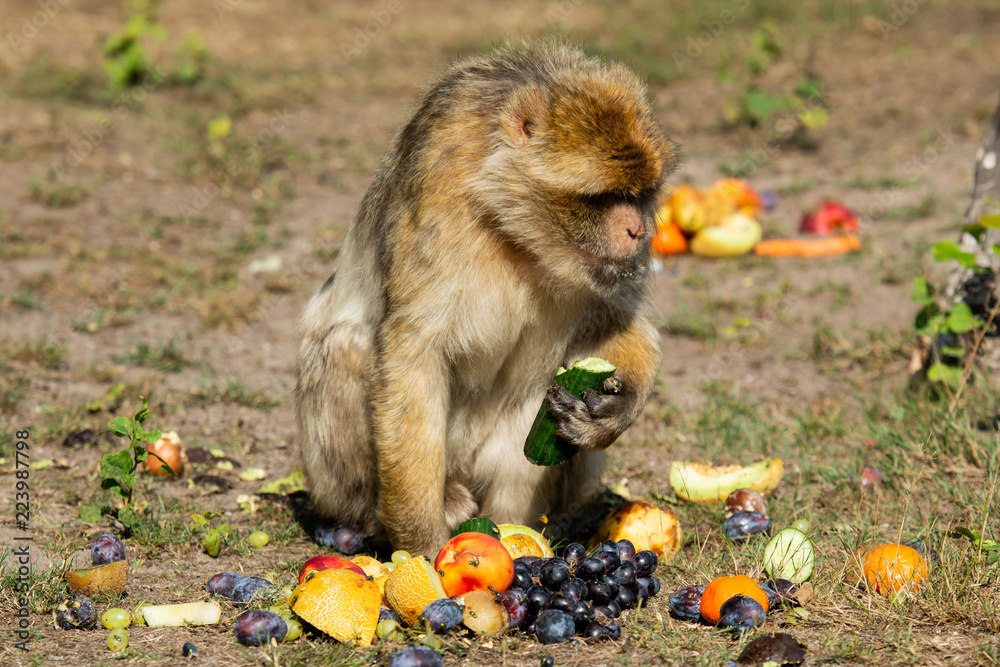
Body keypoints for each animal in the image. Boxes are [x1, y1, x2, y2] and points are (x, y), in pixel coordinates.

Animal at [295, 43, 676, 557]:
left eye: (640, 194)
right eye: (605, 197)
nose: (638, 230)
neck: (516, 231)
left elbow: (617, 319)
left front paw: (616, 409)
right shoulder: (441, 191)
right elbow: (413, 354)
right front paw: (421, 540)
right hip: (337, 484)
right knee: (346, 345)